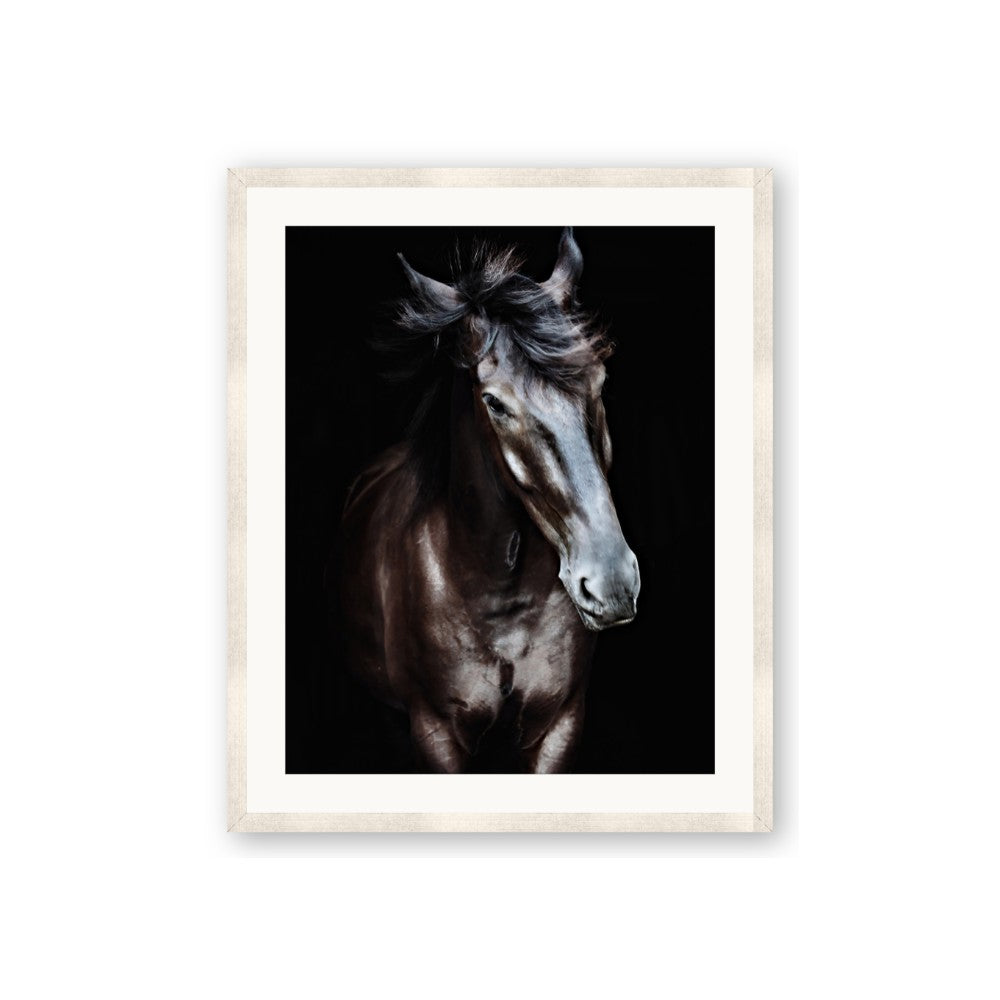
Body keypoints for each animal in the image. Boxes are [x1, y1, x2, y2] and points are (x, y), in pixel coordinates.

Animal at [336, 228, 640, 773]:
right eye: (495, 402)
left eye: (599, 380)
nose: (611, 583)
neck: (501, 599)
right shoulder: (435, 734)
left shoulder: (559, 726)